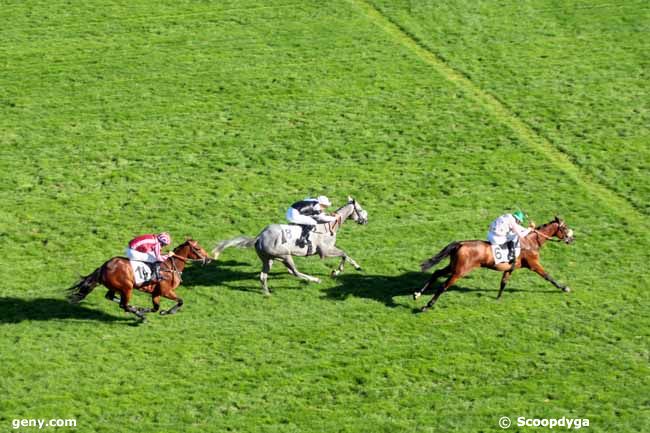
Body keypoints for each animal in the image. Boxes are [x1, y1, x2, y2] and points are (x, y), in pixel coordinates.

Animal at [66, 238, 209, 318]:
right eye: (198, 248)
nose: (208, 259)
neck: (170, 267)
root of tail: (104, 266)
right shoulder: (165, 291)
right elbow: (180, 301)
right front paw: (168, 312)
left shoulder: (156, 293)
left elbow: (156, 308)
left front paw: (147, 309)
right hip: (127, 288)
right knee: (123, 305)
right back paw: (140, 315)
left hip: (116, 287)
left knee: (111, 297)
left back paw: (137, 310)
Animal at [211, 197, 368, 294]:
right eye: (360, 209)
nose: (365, 220)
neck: (327, 226)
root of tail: (259, 237)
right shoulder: (325, 251)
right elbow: (344, 254)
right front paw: (339, 271)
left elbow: (345, 254)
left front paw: (350, 268)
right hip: (285, 255)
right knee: (295, 272)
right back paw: (315, 280)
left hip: (269, 259)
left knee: (264, 276)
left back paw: (267, 293)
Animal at [416, 216, 572, 310]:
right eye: (564, 227)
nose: (572, 238)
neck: (530, 242)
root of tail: (460, 244)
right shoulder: (533, 264)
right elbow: (548, 276)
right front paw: (564, 288)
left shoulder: (509, 268)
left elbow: (503, 283)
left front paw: (498, 298)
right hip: (460, 271)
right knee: (443, 286)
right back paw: (427, 305)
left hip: (453, 266)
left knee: (437, 273)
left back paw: (417, 293)